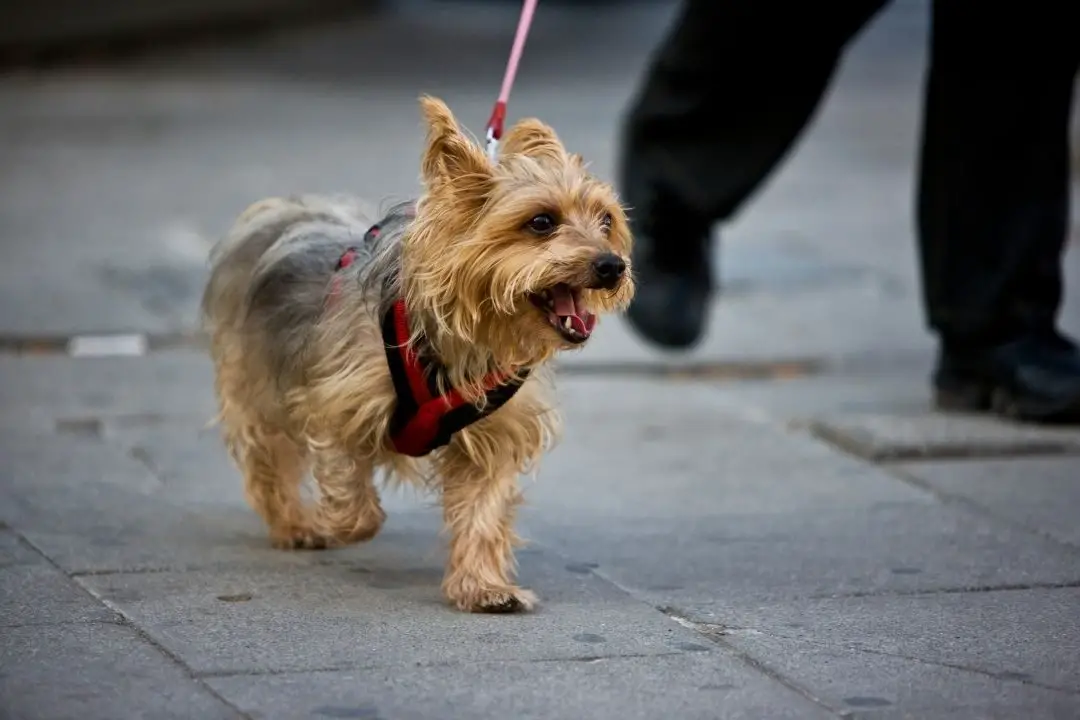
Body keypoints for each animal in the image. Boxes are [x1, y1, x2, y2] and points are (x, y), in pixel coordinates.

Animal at [200, 95, 630, 613]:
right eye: (542, 222)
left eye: (606, 220)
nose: (612, 265)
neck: (472, 335)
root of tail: (285, 209)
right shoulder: (334, 402)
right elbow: (352, 497)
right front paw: (335, 523)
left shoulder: (495, 437)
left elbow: (483, 511)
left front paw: (483, 587)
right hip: (256, 380)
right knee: (268, 458)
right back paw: (295, 524)